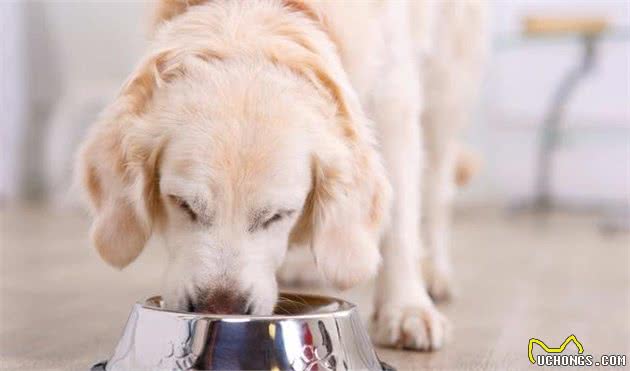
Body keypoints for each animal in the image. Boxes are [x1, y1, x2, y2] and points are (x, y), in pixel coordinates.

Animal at [75, 0, 488, 352]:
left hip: (448, 80)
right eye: (183, 205)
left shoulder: (394, 98)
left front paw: (406, 309)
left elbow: (400, 221)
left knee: (437, 187)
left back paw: (434, 272)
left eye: (278, 216)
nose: (221, 308)